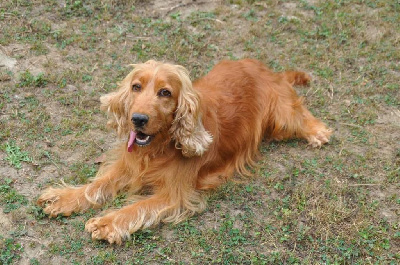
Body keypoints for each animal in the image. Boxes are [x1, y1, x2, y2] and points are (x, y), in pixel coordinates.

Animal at [36, 59, 332, 243]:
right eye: (135, 87)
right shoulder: (127, 165)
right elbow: (97, 185)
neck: (158, 146)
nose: (137, 119)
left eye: (165, 93)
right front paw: (63, 198)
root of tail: (264, 68)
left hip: (281, 115)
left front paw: (107, 223)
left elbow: (137, 207)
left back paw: (319, 133)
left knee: (300, 115)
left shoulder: (174, 194)